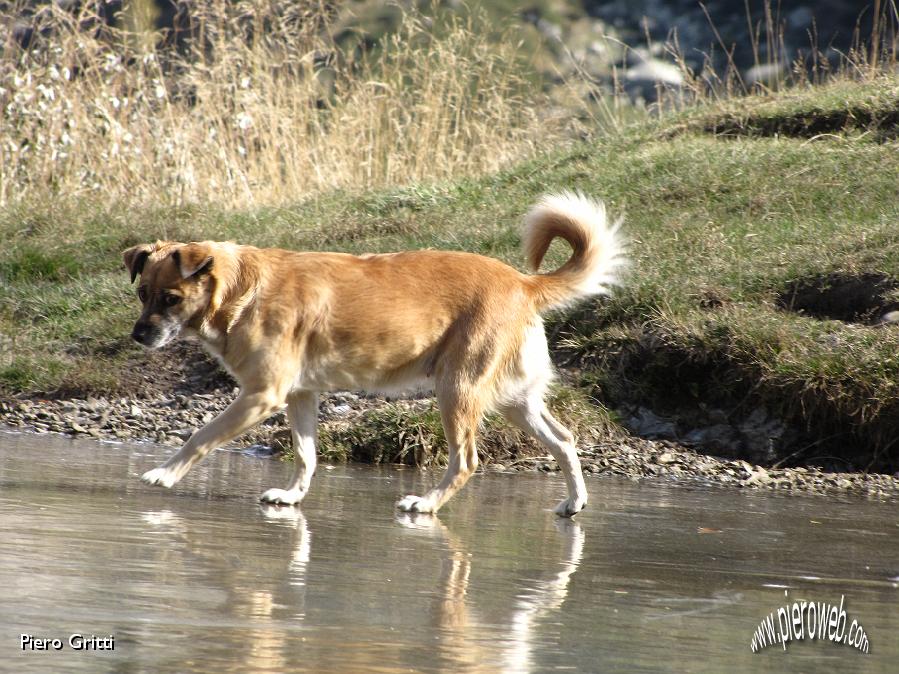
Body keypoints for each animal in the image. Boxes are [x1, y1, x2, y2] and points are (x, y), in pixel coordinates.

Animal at [123, 192, 624, 516]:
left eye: (170, 298)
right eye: (143, 293)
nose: (138, 336)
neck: (242, 290)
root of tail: (523, 283)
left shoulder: (261, 396)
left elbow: (201, 436)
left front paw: (165, 474)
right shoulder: (299, 396)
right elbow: (306, 454)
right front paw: (293, 497)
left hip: (457, 391)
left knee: (466, 461)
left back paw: (427, 503)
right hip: (514, 399)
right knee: (564, 440)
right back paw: (575, 502)